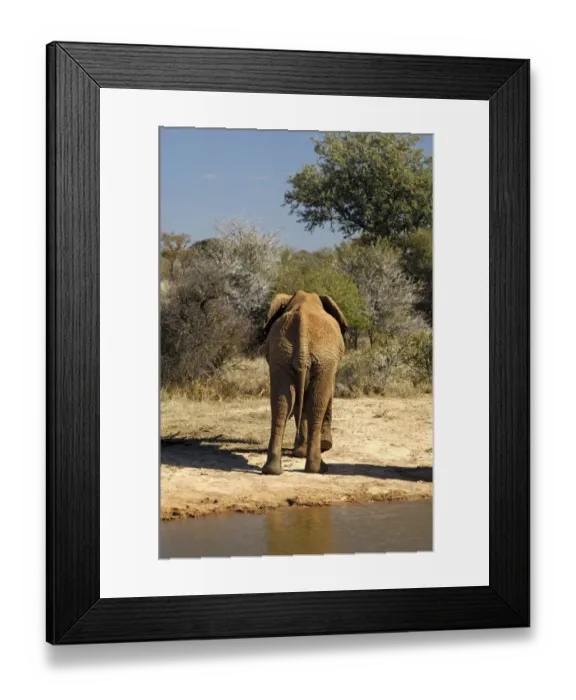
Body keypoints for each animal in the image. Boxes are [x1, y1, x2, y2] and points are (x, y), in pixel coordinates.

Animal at [261, 290, 348, 475]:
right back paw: (318, 468)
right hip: (324, 359)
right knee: (316, 403)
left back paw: (272, 470)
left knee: (281, 403)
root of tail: (303, 324)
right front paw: (325, 446)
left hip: (281, 355)